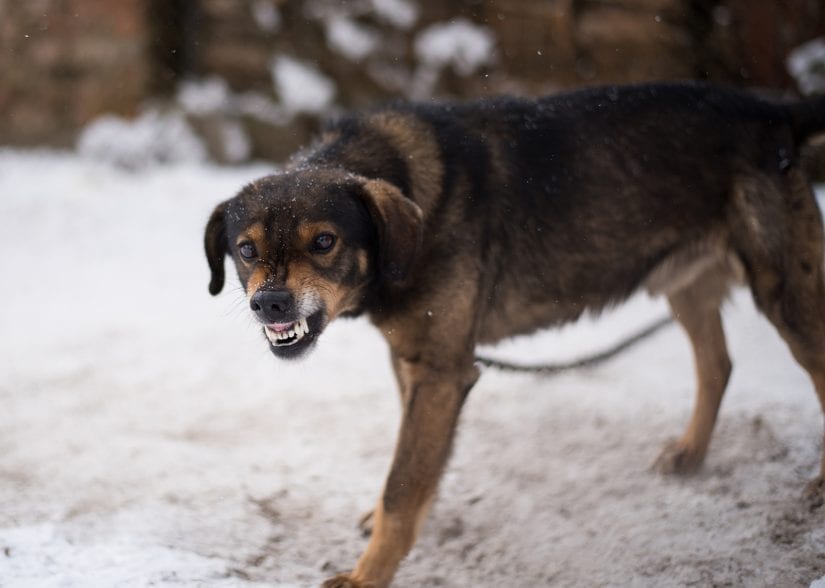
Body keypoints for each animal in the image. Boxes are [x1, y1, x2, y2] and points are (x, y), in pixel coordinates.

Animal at [204, 84, 824, 588]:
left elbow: (403, 485)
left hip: (786, 294)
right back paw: (691, 452)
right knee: (718, 364)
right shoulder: (415, 362)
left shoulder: (443, 371)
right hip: (685, 284)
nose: (269, 303)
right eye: (247, 249)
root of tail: (773, 111)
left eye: (325, 241)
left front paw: (365, 578)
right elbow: (413, 468)